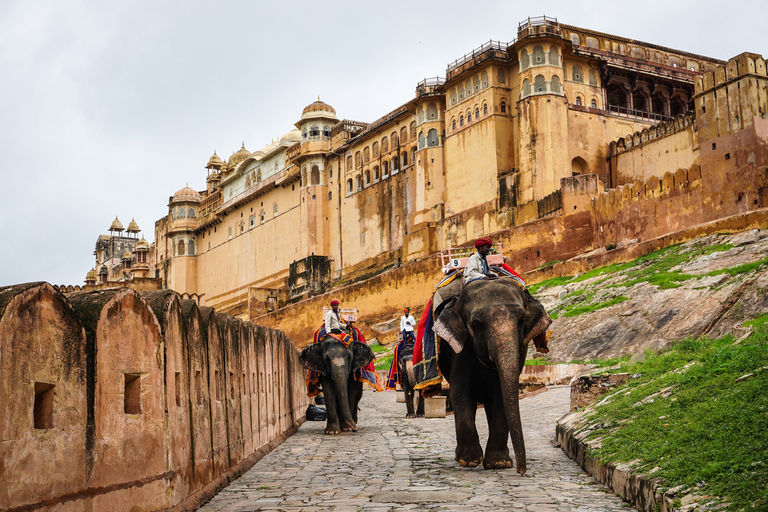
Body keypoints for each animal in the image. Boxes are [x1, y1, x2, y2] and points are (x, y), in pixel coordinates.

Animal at [432, 278, 552, 474]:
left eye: (521, 320)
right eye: (476, 323)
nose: (521, 471)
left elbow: (501, 395)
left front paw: (499, 464)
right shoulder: (459, 351)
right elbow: (459, 393)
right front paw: (469, 461)